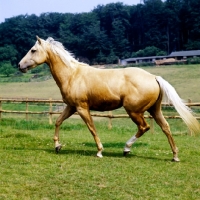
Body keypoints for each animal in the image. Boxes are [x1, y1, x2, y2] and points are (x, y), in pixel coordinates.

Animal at [18, 36, 198, 161]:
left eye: (33, 50)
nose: (19, 66)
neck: (72, 75)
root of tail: (154, 77)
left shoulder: (82, 108)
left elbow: (92, 128)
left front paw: (99, 151)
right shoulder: (71, 107)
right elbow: (57, 121)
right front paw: (57, 146)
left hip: (134, 111)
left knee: (144, 127)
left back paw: (126, 149)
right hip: (154, 109)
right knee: (166, 127)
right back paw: (174, 156)